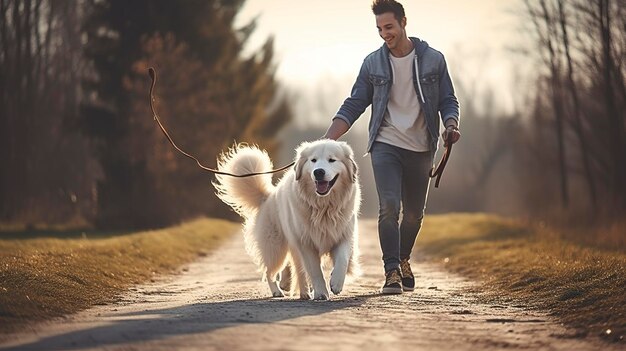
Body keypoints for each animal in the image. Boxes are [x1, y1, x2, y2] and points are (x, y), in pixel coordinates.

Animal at [214, 140, 360, 300]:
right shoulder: (306, 243)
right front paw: (321, 292)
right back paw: (278, 291)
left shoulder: (343, 235)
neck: (323, 207)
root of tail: (267, 197)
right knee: (269, 272)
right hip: (275, 248)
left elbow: (343, 260)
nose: (318, 172)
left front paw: (336, 282)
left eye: (332, 160)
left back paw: (303, 292)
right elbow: (315, 271)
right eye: (313, 160)